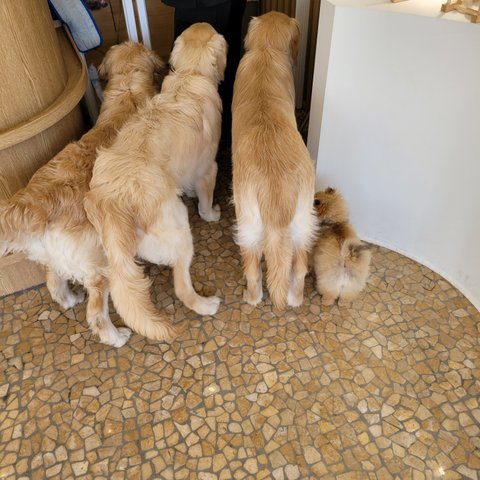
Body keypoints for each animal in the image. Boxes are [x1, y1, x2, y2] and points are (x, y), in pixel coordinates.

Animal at [0, 42, 165, 347]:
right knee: (96, 314)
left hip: (54, 258)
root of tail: (34, 202)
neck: (128, 88)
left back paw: (69, 299)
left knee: (54, 283)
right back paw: (116, 336)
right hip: (99, 266)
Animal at [84, 23, 227, 341]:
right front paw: (212, 214)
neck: (190, 76)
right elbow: (205, 203)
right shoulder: (208, 168)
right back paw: (206, 304)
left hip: (112, 262)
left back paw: (115, 336)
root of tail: (115, 204)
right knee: (182, 287)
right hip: (179, 229)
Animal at [232, 12, 317, 309]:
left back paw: (251, 297)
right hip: (304, 221)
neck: (266, 50)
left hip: (247, 223)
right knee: (299, 269)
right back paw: (295, 299)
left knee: (254, 271)